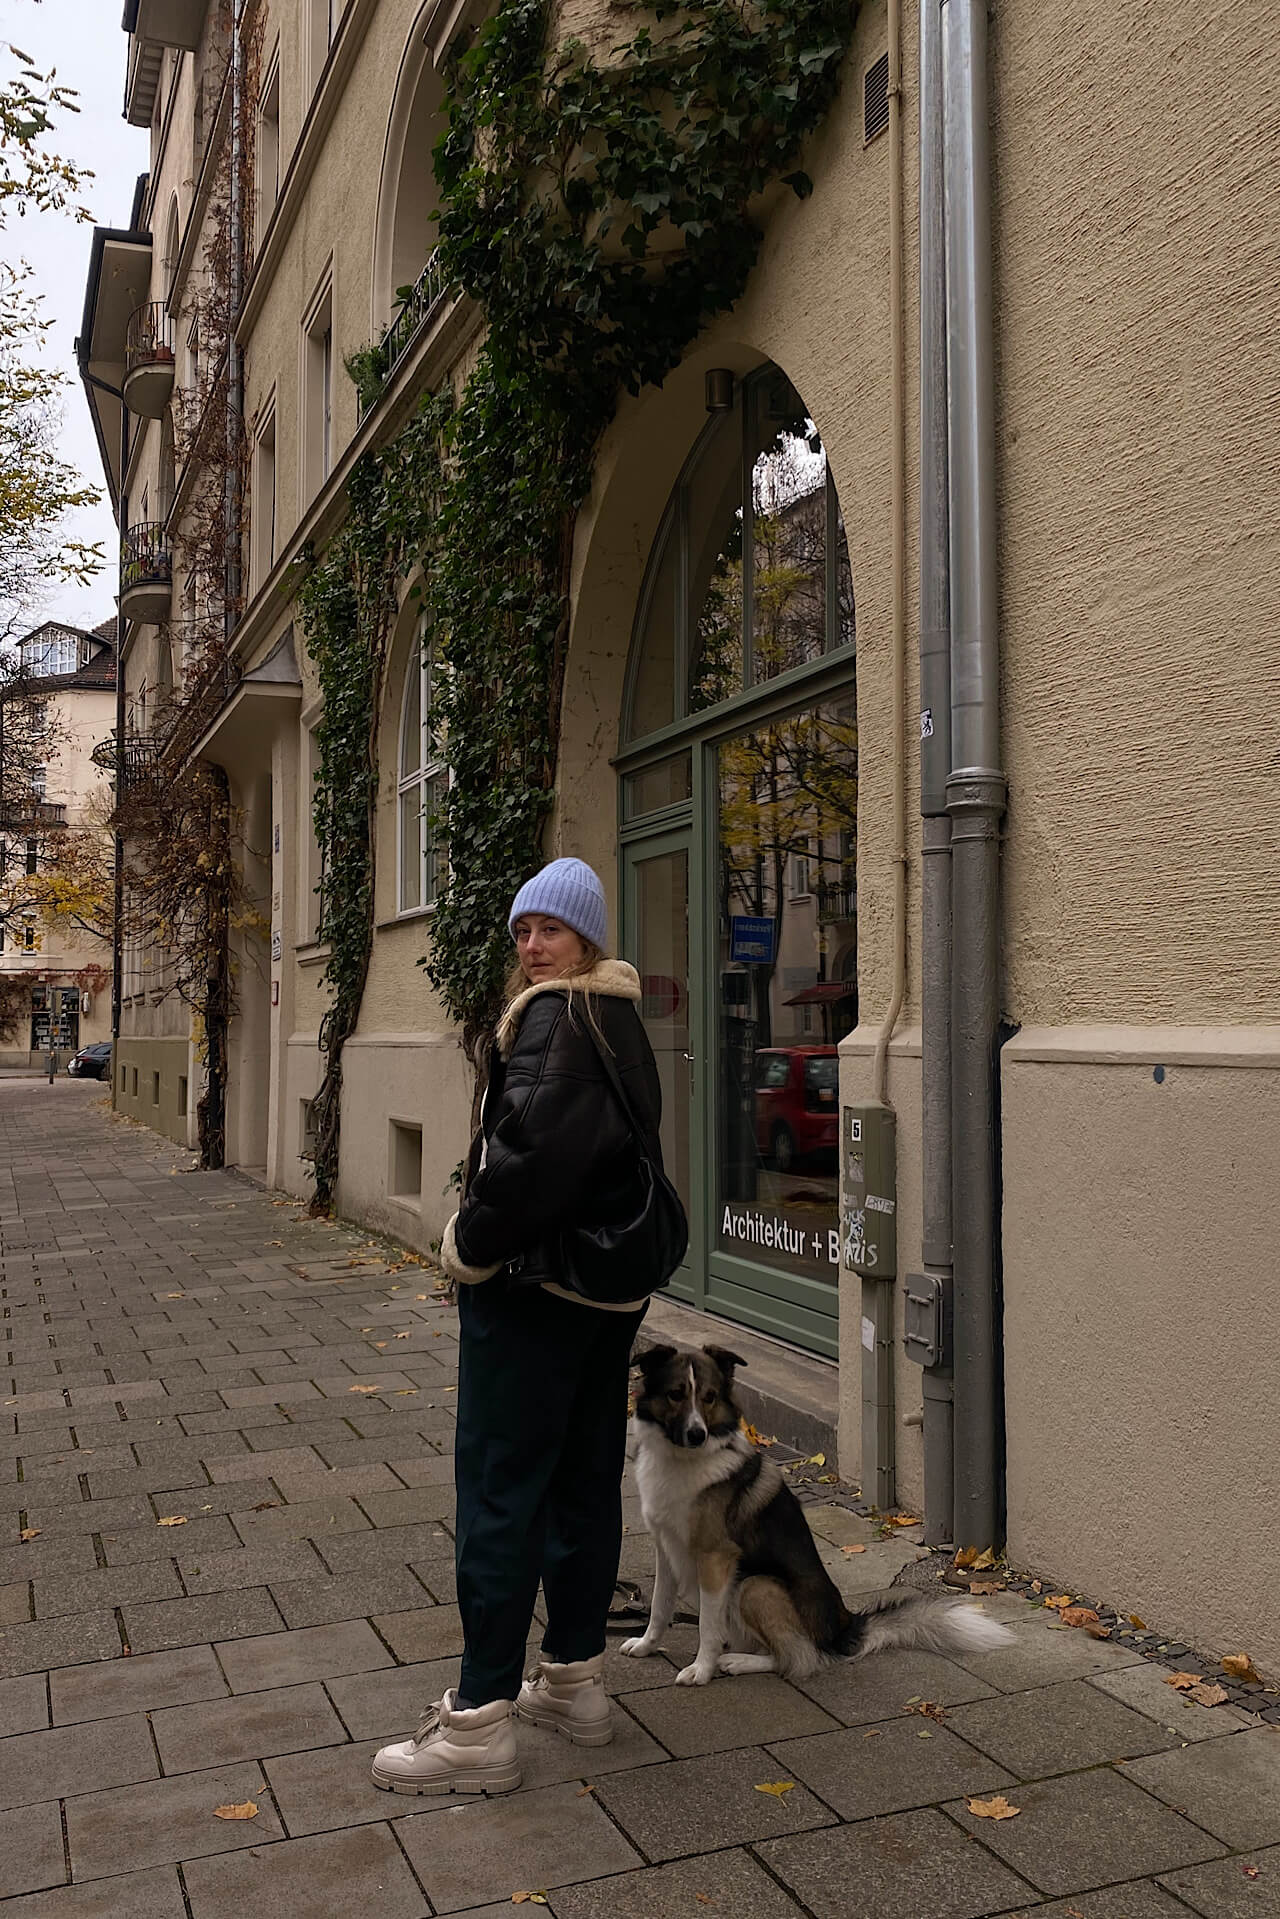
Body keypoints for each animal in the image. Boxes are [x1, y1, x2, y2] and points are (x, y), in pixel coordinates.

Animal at [621, 1343, 1020, 1688]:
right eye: (676, 1394)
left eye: (709, 1397)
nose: (697, 1434)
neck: (685, 1461)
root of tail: (843, 1630)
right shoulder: (666, 1548)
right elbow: (659, 1606)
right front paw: (646, 1645)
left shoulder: (715, 1558)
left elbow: (707, 1624)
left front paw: (701, 1670)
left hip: (755, 1585)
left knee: (799, 1656)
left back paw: (736, 1661)